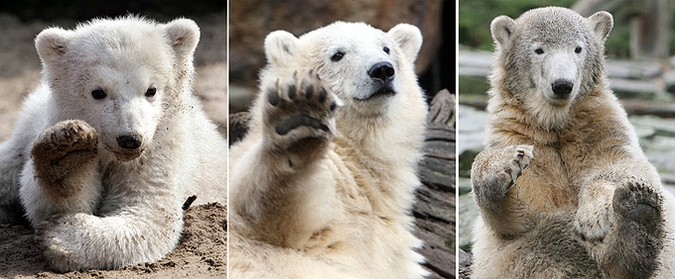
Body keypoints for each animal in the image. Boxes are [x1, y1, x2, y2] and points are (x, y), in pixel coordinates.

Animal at [0, 15, 228, 274]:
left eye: (151, 90)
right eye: (98, 92)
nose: (130, 139)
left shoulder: (158, 154)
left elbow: (150, 213)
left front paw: (60, 235)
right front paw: (66, 157)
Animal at [470, 7, 675, 279]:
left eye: (578, 48)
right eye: (539, 49)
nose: (562, 85)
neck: (556, 124)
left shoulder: (601, 128)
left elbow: (626, 165)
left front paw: (593, 217)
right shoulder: (516, 134)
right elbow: (518, 215)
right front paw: (506, 163)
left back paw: (638, 212)